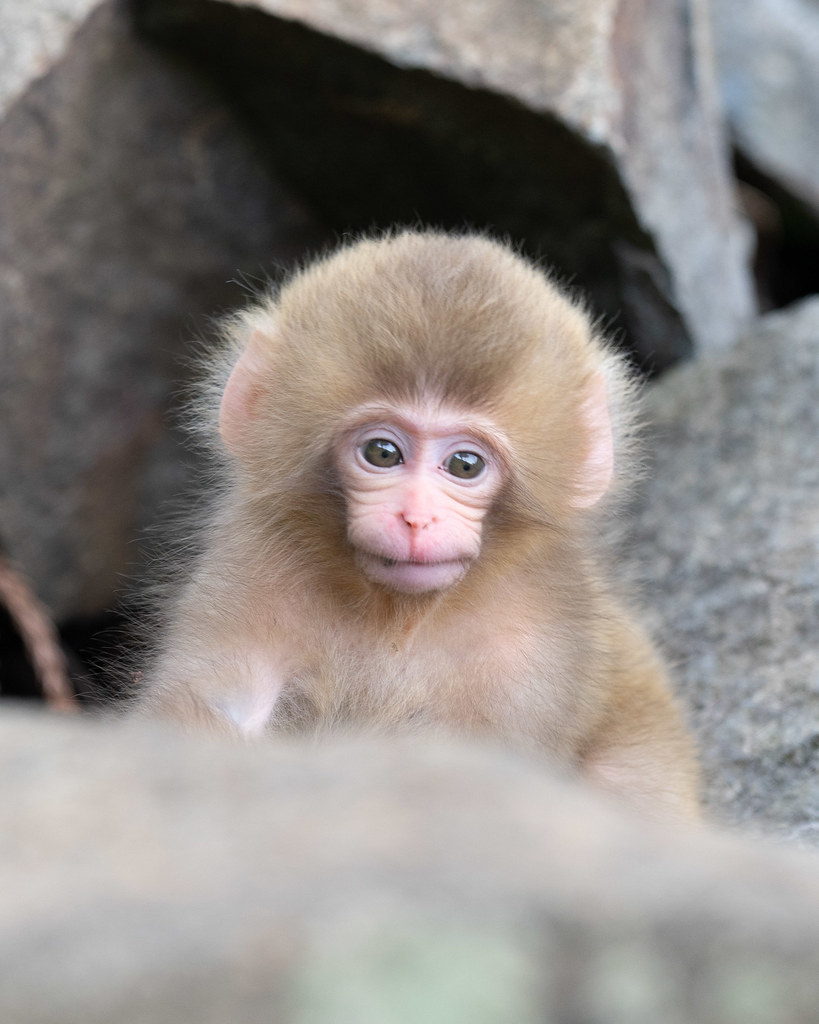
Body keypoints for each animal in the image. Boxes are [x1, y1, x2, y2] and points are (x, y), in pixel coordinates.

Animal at [139, 229, 700, 821]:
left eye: (465, 465)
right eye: (382, 453)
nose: (415, 517)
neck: (396, 617)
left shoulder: (531, 645)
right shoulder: (251, 564)